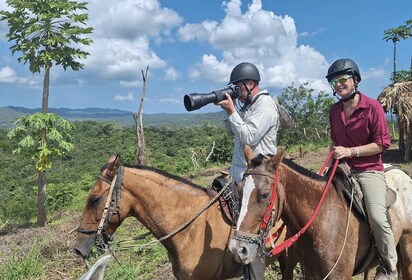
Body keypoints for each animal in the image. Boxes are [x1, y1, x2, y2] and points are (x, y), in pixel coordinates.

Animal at [230, 148, 412, 278]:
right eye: (238, 191)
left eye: (265, 194)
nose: (238, 249)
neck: (321, 223)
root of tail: (403, 173)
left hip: (407, 247)